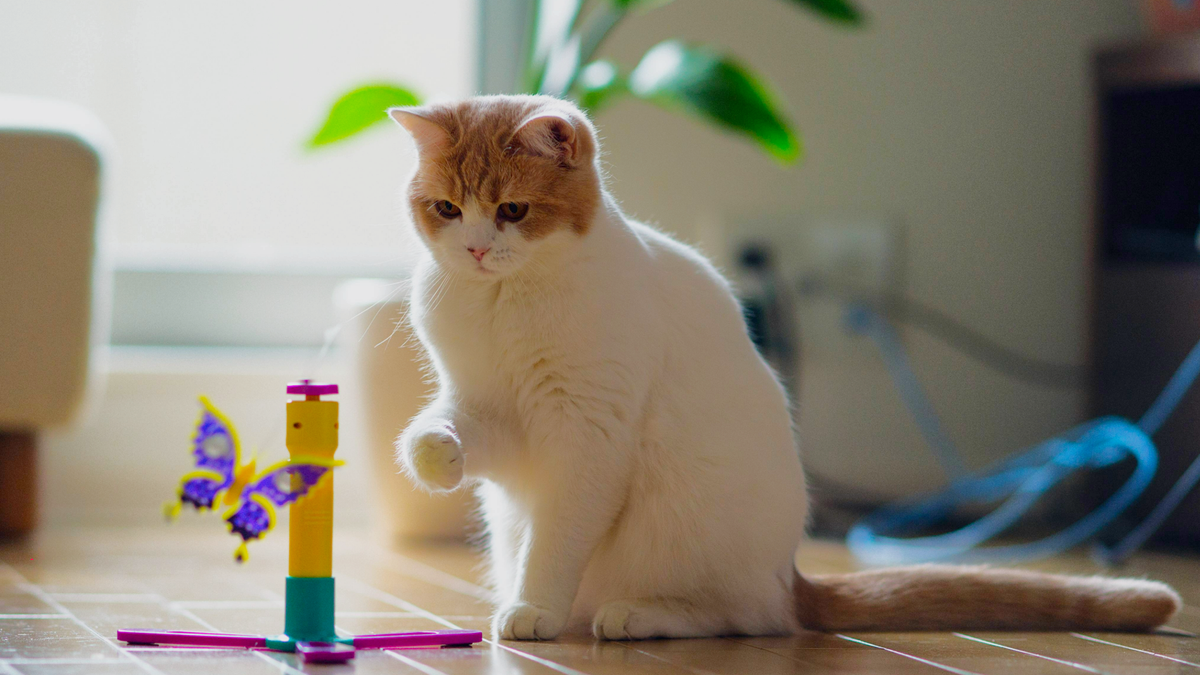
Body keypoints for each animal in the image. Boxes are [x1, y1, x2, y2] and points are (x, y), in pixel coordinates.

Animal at [388, 94, 1176, 634]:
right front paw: (431, 455)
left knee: (744, 616)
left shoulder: (587, 437)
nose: (477, 248)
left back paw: (642, 614)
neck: (502, 301)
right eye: (448, 209)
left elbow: (555, 543)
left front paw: (535, 609)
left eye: (513, 210)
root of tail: (794, 575)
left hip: (691, 529)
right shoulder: (490, 408)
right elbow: (452, 429)